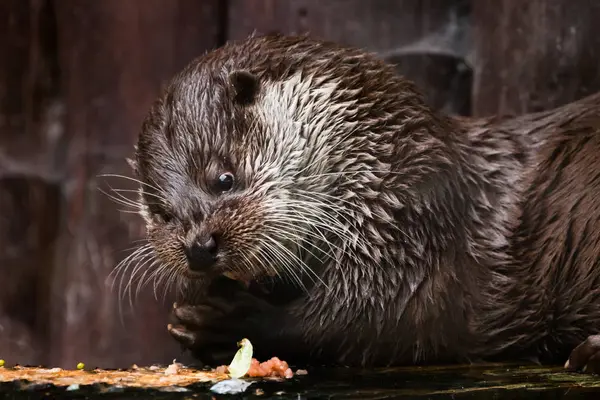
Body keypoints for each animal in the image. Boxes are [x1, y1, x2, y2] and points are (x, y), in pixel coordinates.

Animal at [129, 33, 600, 372]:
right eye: (161, 212)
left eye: (224, 178)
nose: (199, 246)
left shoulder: (418, 233)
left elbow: (374, 318)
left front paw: (219, 323)